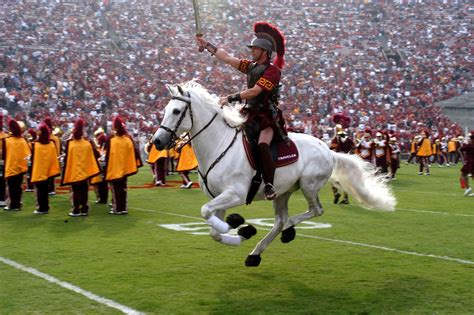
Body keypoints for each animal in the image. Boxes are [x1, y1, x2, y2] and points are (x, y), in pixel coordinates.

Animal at [153, 81, 396, 266]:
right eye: (165, 111)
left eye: (176, 111)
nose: (157, 142)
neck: (219, 145)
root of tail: (329, 150)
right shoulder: (219, 197)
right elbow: (213, 230)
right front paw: (240, 229)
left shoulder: (235, 194)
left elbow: (205, 213)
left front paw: (240, 226)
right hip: (282, 192)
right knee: (280, 221)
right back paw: (255, 254)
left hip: (308, 185)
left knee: (312, 211)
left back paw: (289, 231)